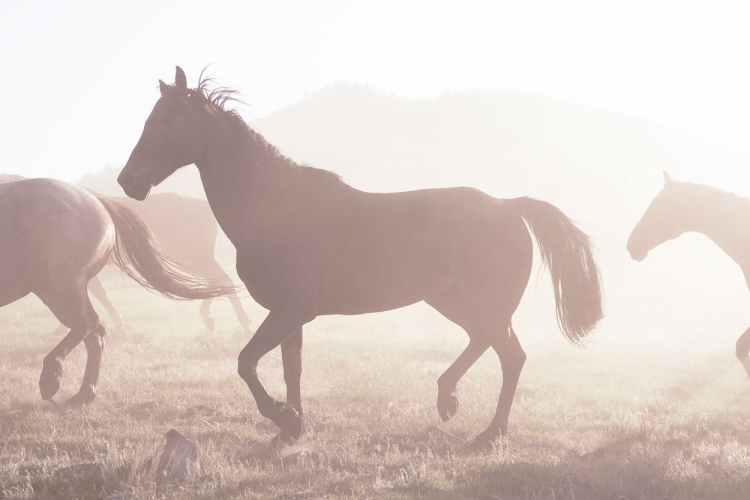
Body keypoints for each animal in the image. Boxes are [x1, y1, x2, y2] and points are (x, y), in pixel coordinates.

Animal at [0, 178, 235, 404]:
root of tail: (96, 200)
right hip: (58, 291)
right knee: (94, 334)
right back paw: (84, 394)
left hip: (62, 288)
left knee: (88, 325)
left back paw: (52, 379)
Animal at [116, 67, 604, 450]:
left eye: (168, 120)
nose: (127, 181)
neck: (275, 209)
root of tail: (509, 205)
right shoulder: (289, 315)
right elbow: (290, 370)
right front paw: (291, 428)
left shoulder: (290, 311)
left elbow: (246, 363)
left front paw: (284, 418)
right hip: (453, 302)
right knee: (491, 345)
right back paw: (453, 403)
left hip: (481, 305)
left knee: (510, 356)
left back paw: (483, 428)